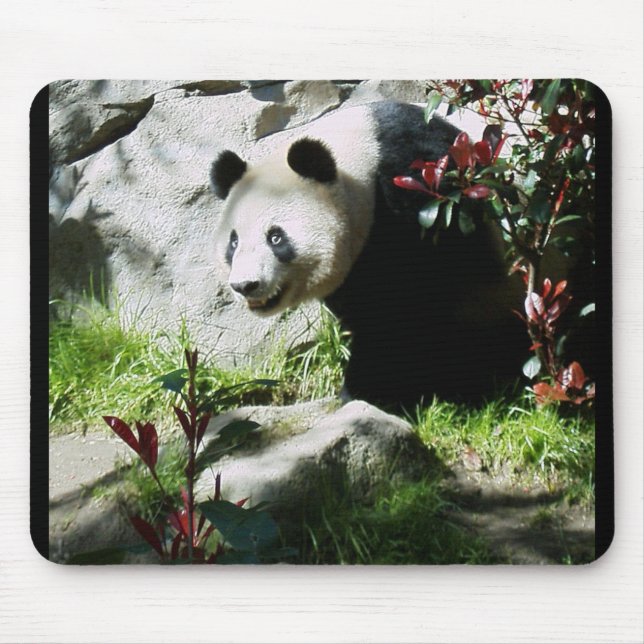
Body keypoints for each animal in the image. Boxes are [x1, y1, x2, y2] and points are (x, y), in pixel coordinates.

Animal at [210, 101, 527, 409]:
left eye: (276, 237)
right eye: (234, 242)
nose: (246, 285)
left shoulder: (421, 199)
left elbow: (413, 306)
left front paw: (372, 390)